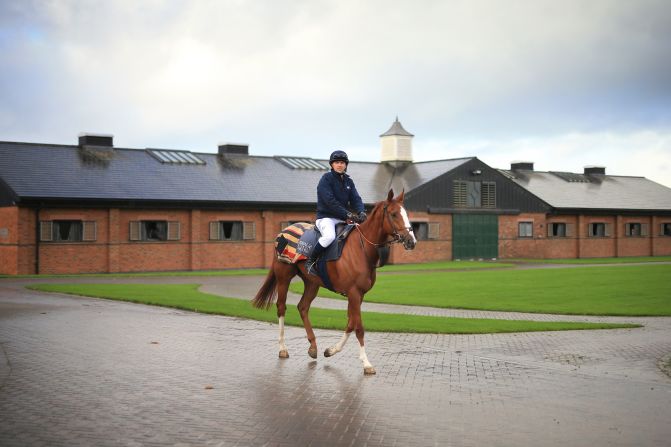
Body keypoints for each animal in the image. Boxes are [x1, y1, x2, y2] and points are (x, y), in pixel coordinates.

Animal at [252, 189, 418, 374]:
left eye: (406, 213)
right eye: (394, 214)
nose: (411, 241)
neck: (361, 248)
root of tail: (284, 231)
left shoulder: (359, 295)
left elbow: (350, 323)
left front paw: (331, 350)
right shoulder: (353, 293)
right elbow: (359, 327)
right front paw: (366, 363)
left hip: (312, 283)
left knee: (303, 307)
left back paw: (313, 346)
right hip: (284, 278)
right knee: (281, 307)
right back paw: (282, 348)